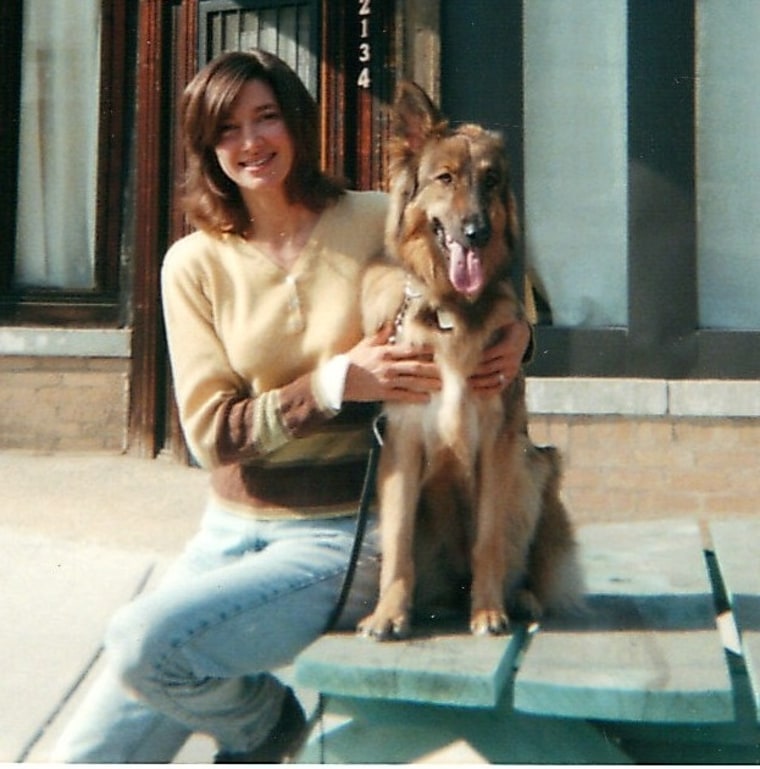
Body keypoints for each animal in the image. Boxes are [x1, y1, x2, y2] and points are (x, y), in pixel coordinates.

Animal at [358, 82, 580, 640]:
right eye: (446, 178)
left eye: (491, 181)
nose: (476, 231)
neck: (449, 308)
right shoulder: (402, 444)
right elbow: (397, 543)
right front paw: (389, 614)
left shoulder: (499, 445)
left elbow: (489, 540)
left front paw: (489, 610)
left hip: (535, 465)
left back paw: (518, 597)